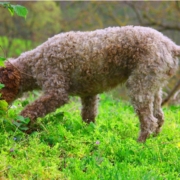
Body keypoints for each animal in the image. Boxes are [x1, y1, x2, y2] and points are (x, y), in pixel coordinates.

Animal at [0, 26, 180, 143]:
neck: (35, 63)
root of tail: (170, 46)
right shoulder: (88, 94)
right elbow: (88, 116)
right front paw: (89, 134)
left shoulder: (56, 93)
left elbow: (31, 109)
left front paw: (19, 124)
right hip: (153, 88)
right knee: (159, 117)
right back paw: (154, 140)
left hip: (140, 86)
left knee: (149, 121)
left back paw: (139, 143)